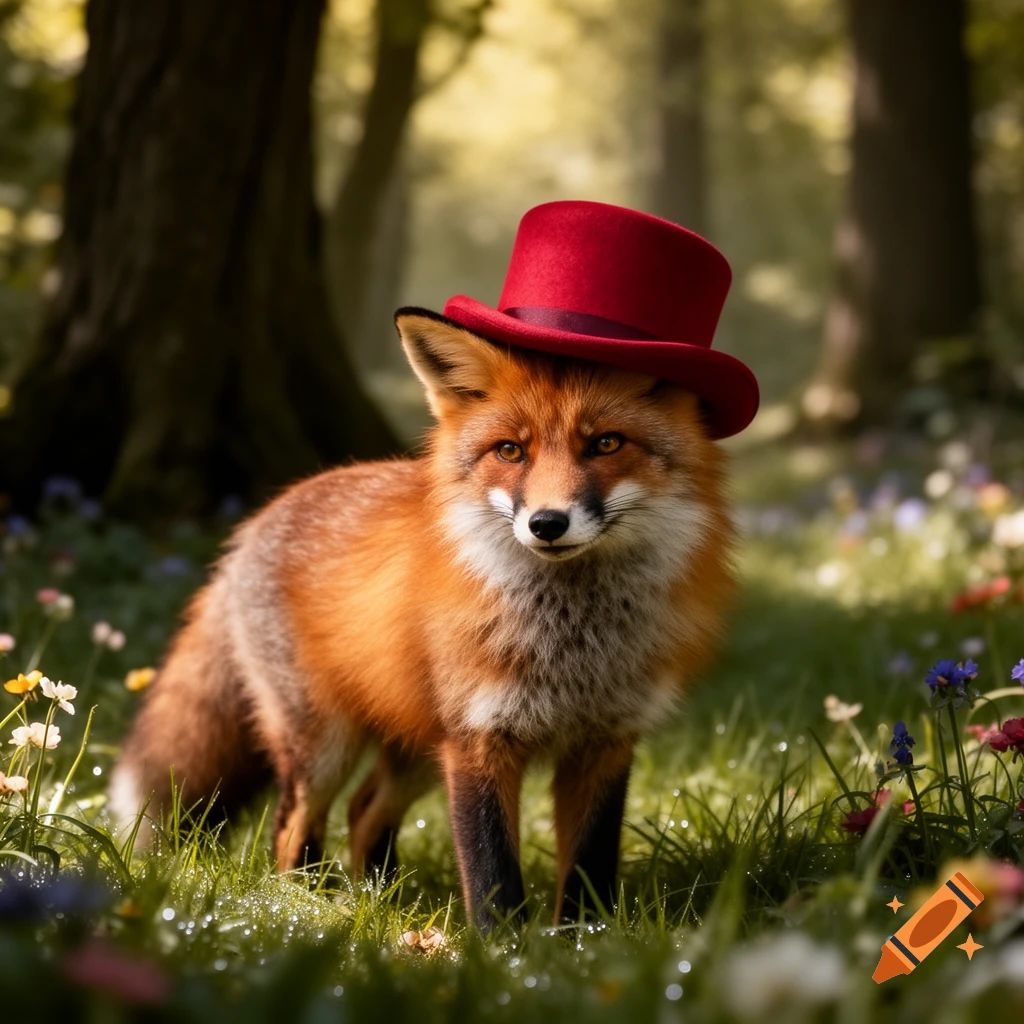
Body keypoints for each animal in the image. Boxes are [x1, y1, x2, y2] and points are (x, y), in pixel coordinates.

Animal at [109, 307, 736, 929]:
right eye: (511, 451)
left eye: (606, 443)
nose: (547, 523)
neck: (573, 642)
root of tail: (255, 522)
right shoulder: (478, 740)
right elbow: (490, 869)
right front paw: (503, 949)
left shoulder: (605, 741)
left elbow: (588, 864)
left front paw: (582, 941)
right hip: (326, 745)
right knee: (291, 829)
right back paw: (308, 908)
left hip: (420, 749)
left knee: (363, 810)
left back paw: (376, 899)